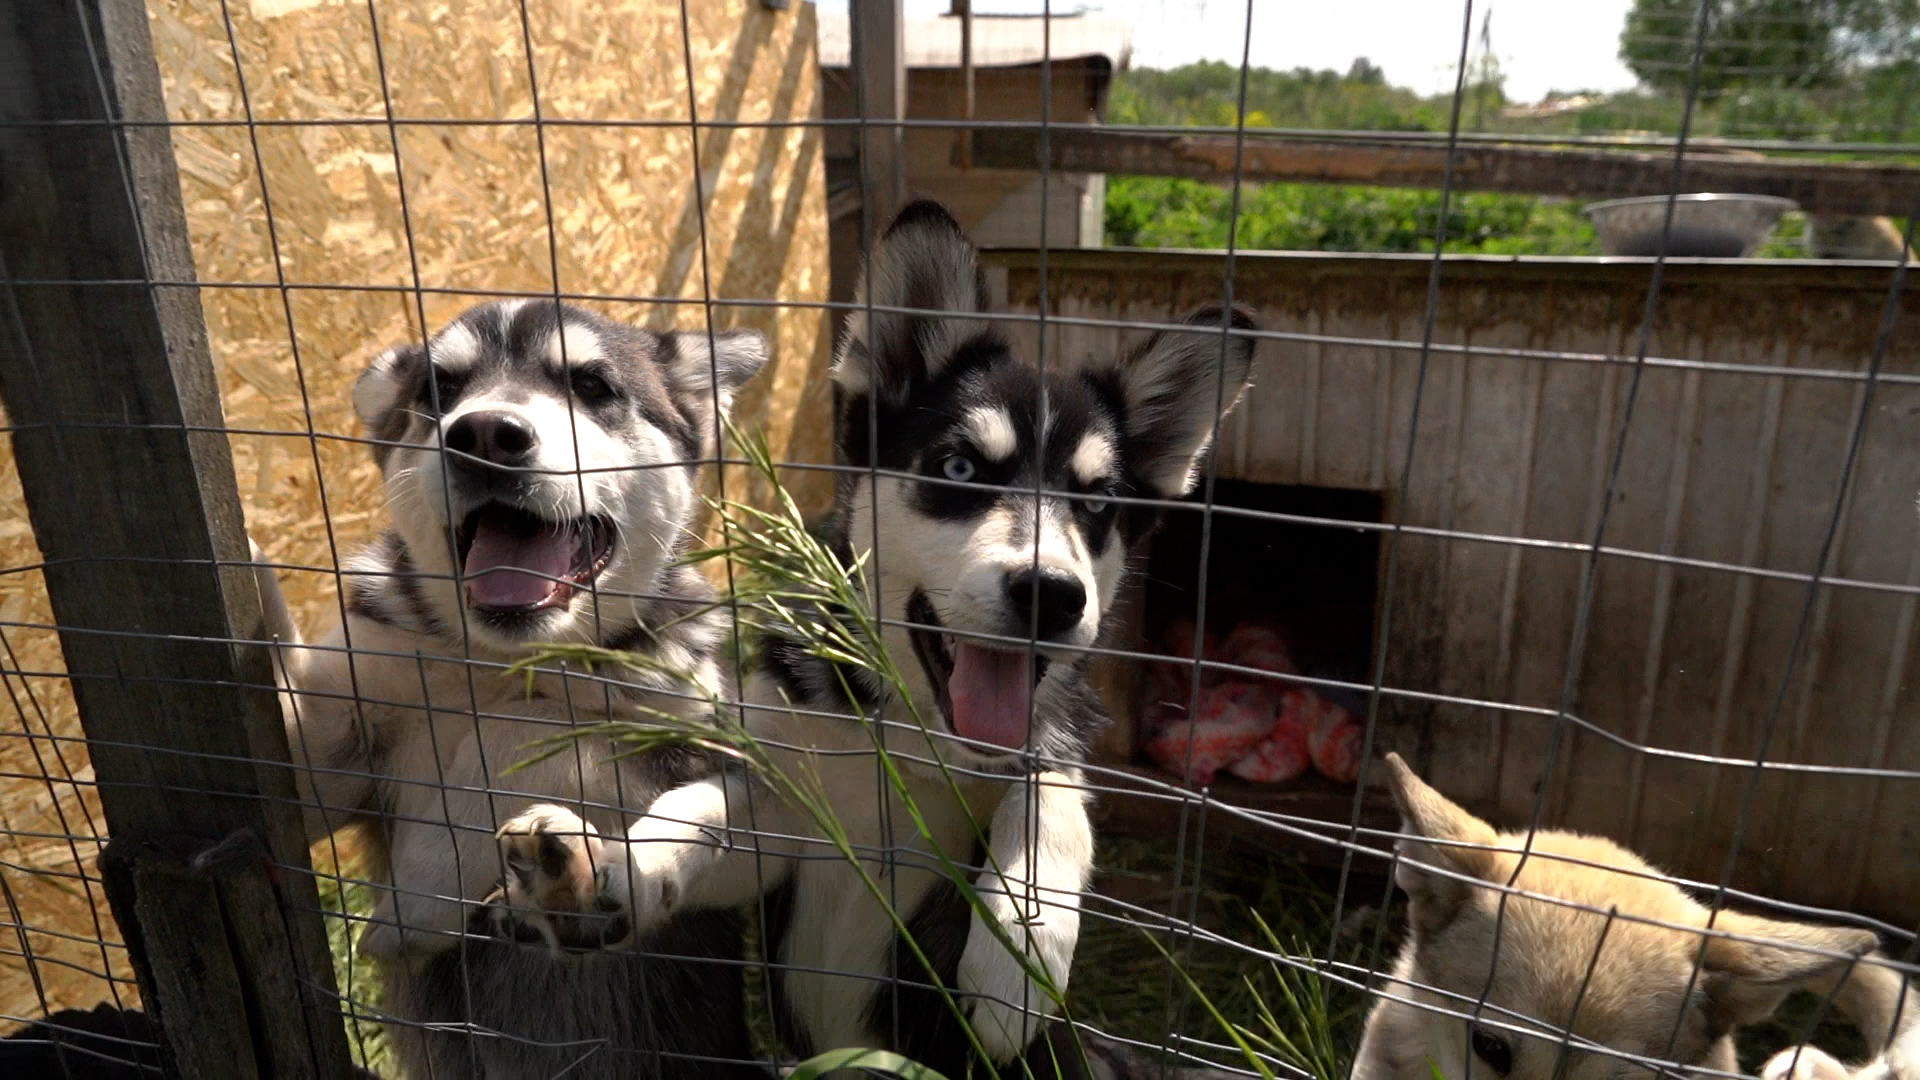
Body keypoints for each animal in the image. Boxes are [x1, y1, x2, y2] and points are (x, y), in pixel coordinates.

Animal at [251, 297, 768, 1076]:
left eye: (592, 386)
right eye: (440, 390)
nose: (486, 434)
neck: (507, 667)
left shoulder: (721, 759)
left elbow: (662, 794)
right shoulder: (324, 756)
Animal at [499, 199, 1259, 1068]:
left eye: (1098, 502)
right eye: (958, 469)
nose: (1052, 595)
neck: (906, 739)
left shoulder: (1052, 741)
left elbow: (1052, 791)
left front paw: (1019, 952)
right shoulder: (785, 818)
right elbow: (695, 810)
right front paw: (609, 864)